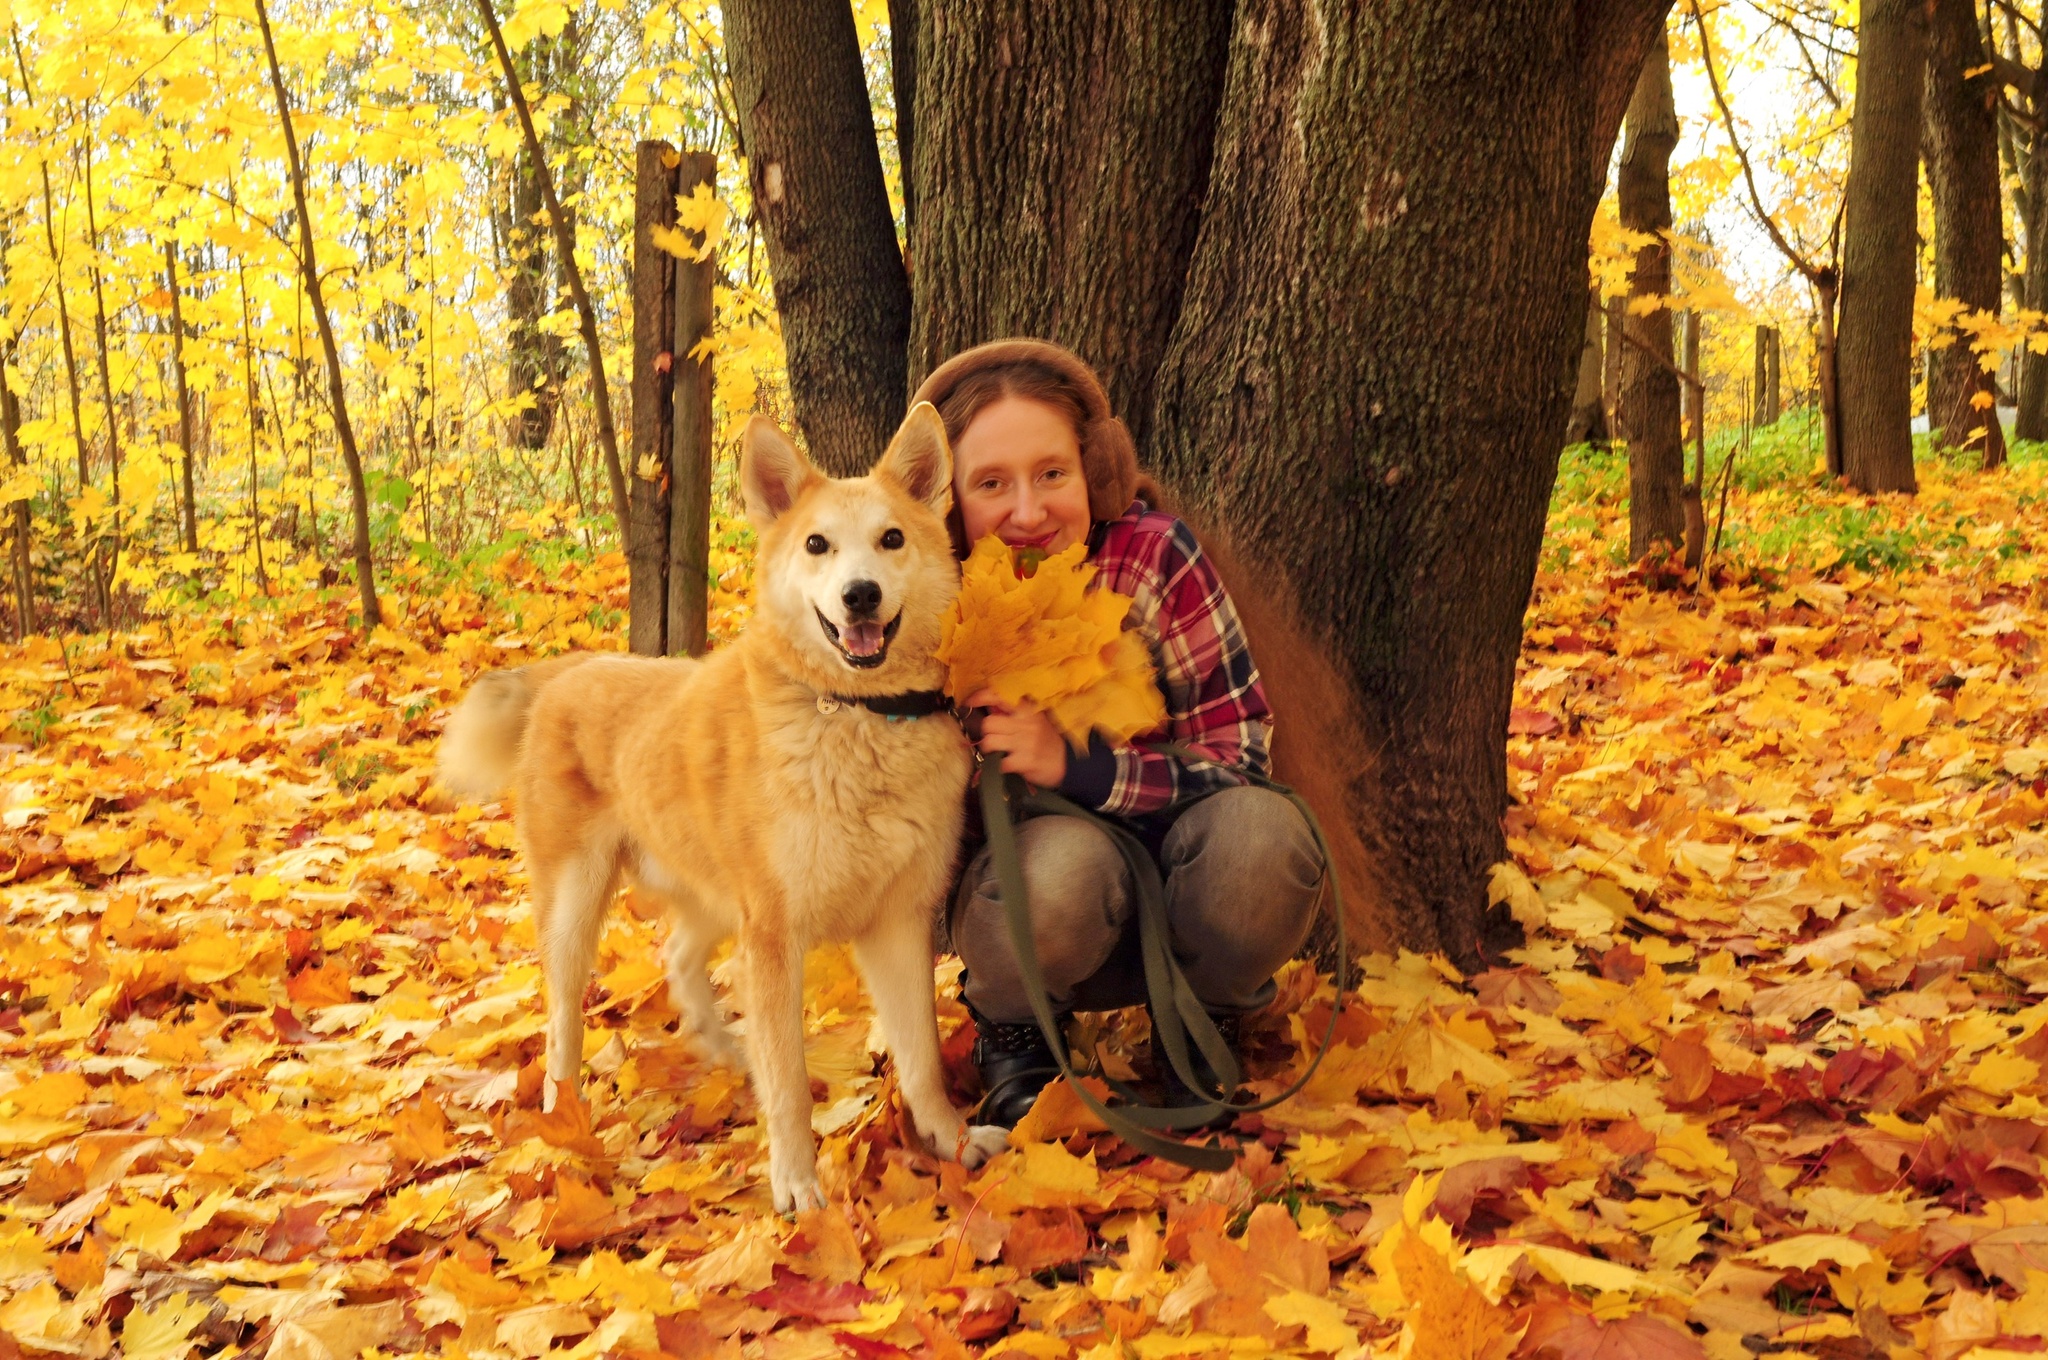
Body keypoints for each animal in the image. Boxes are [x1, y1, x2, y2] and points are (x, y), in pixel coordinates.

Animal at [440, 403, 1007, 1212]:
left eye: (892, 539)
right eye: (817, 545)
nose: (860, 594)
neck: (855, 717)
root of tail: (572, 669)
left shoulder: (896, 924)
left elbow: (921, 1056)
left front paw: (951, 1142)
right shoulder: (774, 936)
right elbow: (791, 1081)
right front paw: (797, 1184)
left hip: (713, 894)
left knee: (677, 956)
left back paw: (722, 1046)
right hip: (579, 908)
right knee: (560, 1021)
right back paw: (563, 1116)